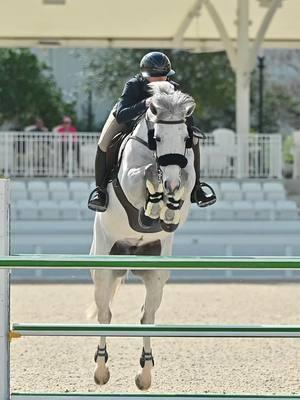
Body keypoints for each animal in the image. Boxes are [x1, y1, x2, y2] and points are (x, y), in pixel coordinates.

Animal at [91, 82, 199, 390]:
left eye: (186, 139)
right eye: (157, 137)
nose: (170, 183)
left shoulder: (186, 174)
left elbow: (186, 183)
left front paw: (169, 208)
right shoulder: (129, 178)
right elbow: (145, 174)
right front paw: (154, 202)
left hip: (155, 272)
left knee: (147, 316)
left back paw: (145, 374)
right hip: (103, 268)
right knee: (104, 314)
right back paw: (101, 370)